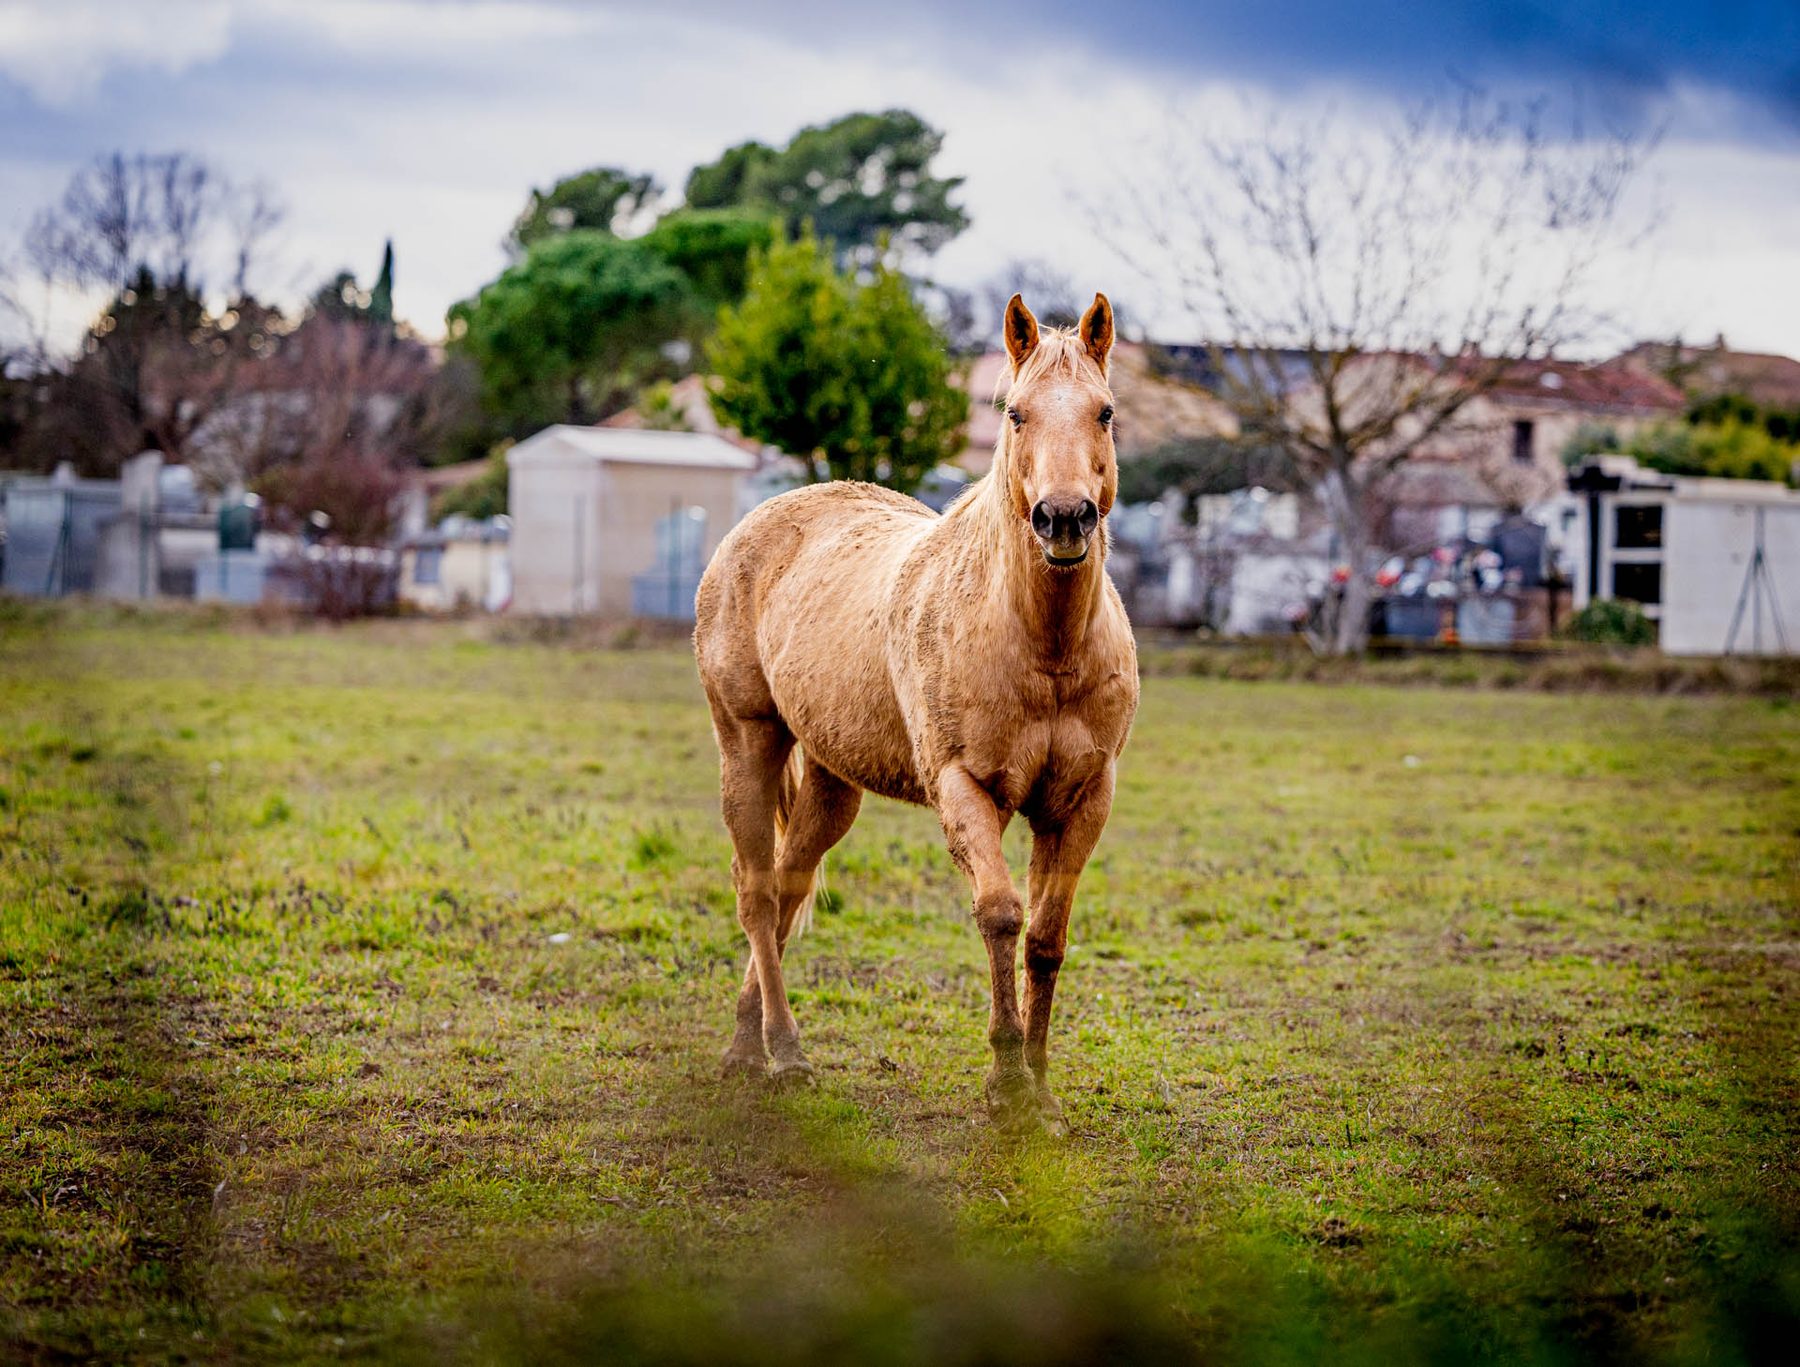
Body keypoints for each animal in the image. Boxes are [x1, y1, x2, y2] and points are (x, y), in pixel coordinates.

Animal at [693, 292, 1139, 1132]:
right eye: (1015, 413)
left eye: (1104, 411)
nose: (1063, 518)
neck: (1041, 648)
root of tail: (757, 523)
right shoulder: (965, 788)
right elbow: (999, 914)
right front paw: (1004, 1085)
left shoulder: (1081, 800)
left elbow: (1046, 938)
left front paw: (1042, 1094)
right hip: (747, 744)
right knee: (758, 894)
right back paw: (778, 1055)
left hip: (832, 780)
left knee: (790, 890)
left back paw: (748, 1042)